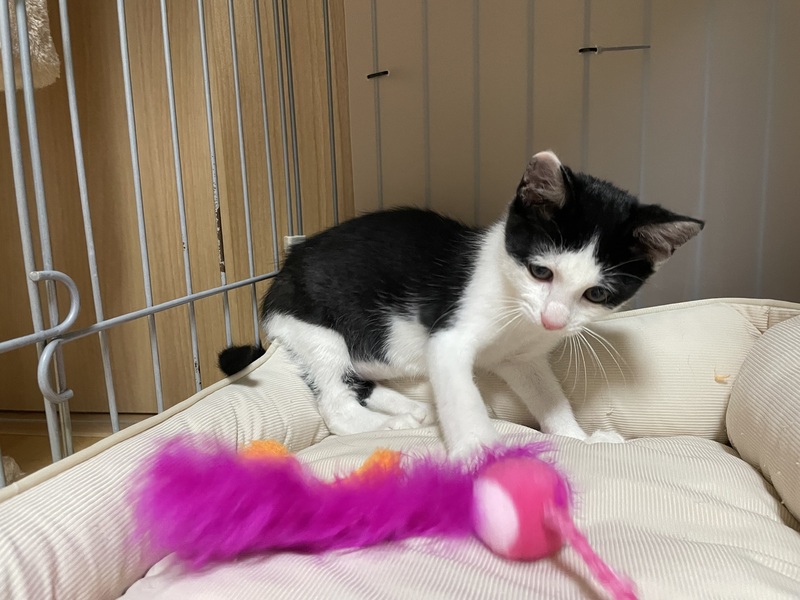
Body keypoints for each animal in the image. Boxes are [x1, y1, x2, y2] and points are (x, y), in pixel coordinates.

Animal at [219, 150, 704, 458]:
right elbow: (460, 393)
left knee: (359, 377)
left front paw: (578, 438)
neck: (516, 310)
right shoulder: (449, 337)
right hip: (316, 326)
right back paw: (384, 424)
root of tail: (282, 272)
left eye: (597, 294)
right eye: (541, 272)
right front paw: (478, 452)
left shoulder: (521, 358)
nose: (552, 320)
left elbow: (549, 396)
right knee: (335, 398)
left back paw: (407, 406)